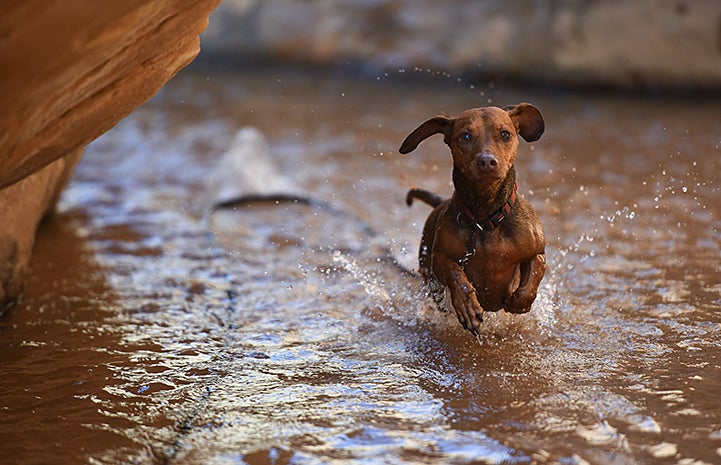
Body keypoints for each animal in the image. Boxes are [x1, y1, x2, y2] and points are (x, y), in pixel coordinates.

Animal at [400, 102, 544, 334]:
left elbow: (529, 283)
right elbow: (456, 274)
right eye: (465, 136)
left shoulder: (536, 252)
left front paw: (518, 303)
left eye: (505, 134)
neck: (485, 219)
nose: (487, 161)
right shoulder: (439, 258)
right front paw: (467, 307)